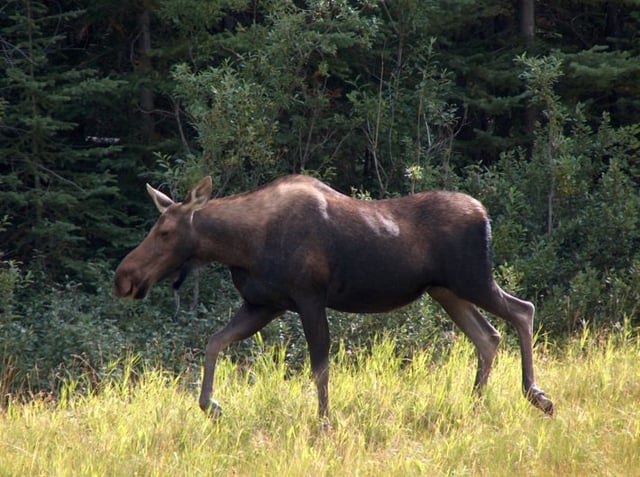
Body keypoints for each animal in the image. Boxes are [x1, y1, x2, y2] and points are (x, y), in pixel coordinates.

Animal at [114, 175, 554, 420]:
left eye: (165, 232)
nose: (123, 277)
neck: (241, 247)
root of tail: (485, 216)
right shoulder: (264, 304)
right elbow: (213, 343)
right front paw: (212, 406)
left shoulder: (309, 298)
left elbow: (320, 368)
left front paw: (325, 423)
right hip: (446, 291)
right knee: (488, 335)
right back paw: (475, 403)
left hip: (473, 280)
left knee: (522, 311)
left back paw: (536, 394)